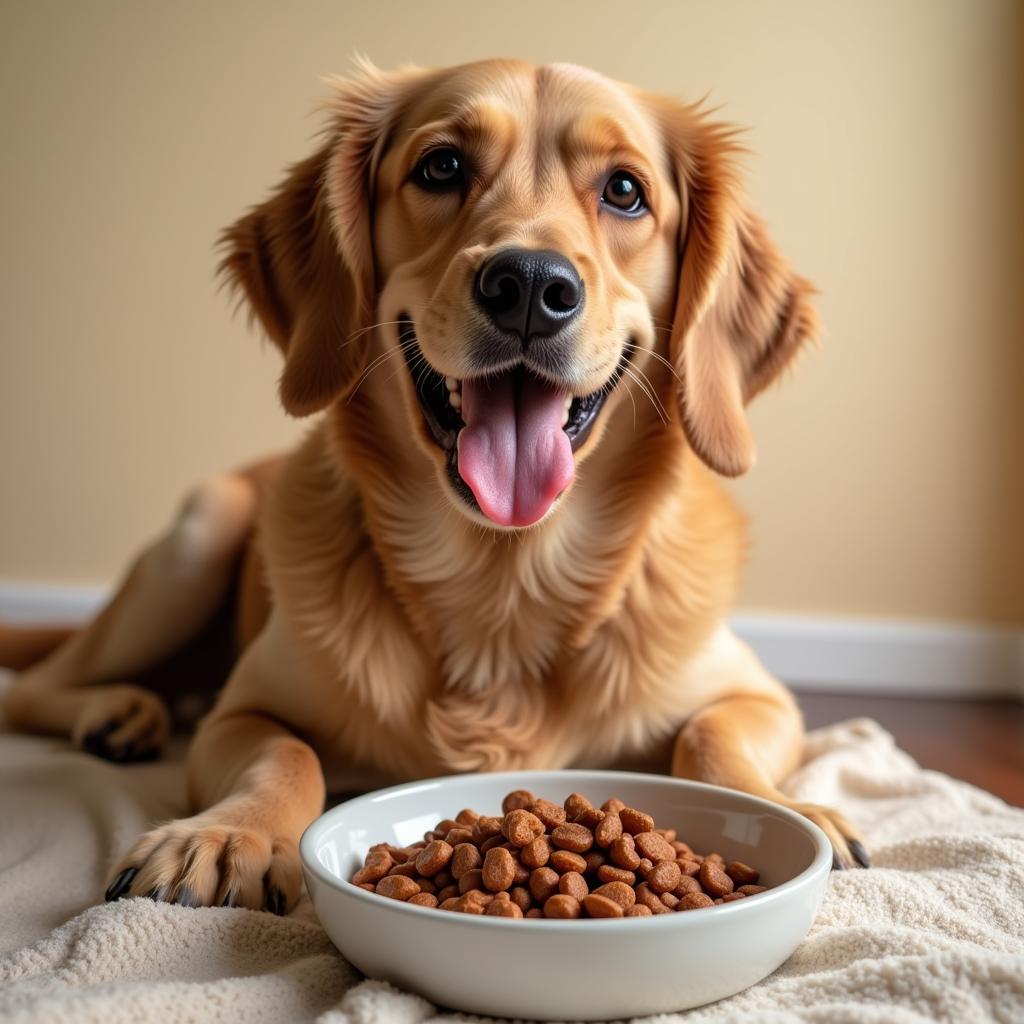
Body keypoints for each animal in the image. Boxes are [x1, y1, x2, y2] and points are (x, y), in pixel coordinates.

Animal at [0, 58, 868, 913]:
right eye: (441, 166)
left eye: (625, 190)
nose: (529, 284)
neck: (503, 582)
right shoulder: (240, 709)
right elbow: (286, 754)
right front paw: (226, 831)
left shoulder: (759, 697)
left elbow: (711, 738)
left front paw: (795, 810)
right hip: (195, 539)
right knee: (33, 687)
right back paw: (117, 710)